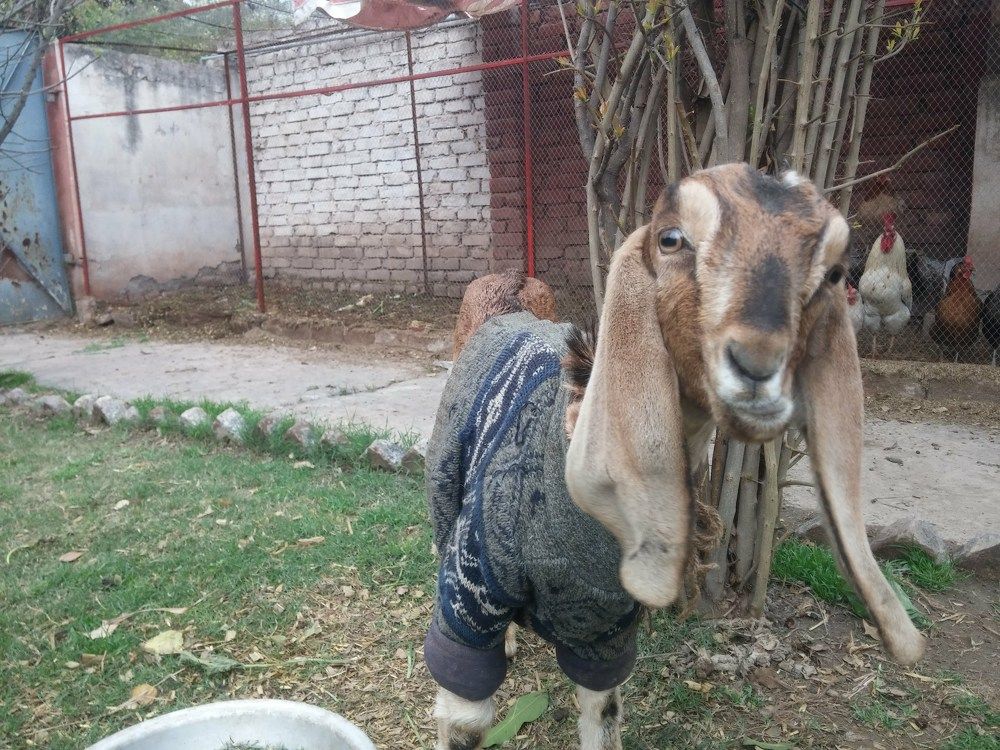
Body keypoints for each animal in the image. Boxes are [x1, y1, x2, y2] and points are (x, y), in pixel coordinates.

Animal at [424, 164, 925, 750]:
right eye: (671, 239)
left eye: (834, 271)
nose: (759, 366)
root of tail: (511, 290)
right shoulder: (472, 596)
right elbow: (464, 718)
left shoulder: (607, 633)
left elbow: (603, 717)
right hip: (445, 500)